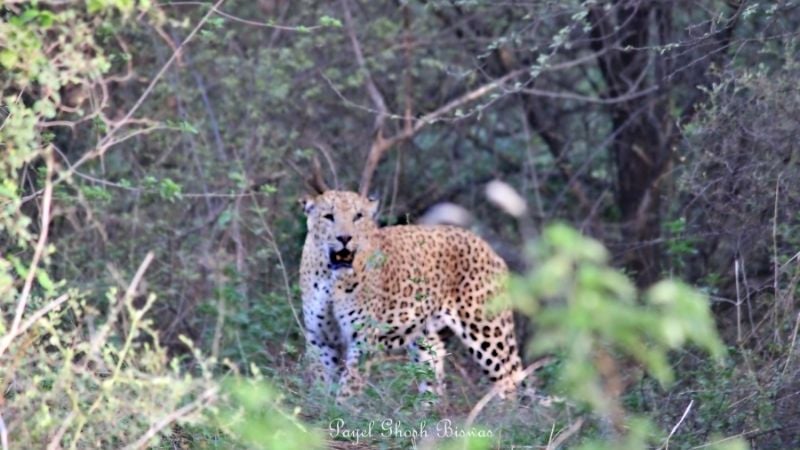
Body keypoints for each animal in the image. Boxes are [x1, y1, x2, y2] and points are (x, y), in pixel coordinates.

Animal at [299, 190, 524, 401]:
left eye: (358, 216)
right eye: (329, 216)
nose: (345, 238)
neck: (331, 281)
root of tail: (488, 248)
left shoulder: (362, 338)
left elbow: (349, 385)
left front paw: (342, 408)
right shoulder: (319, 337)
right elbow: (321, 378)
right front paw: (321, 405)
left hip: (486, 329)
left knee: (508, 376)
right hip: (424, 331)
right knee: (435, 356)